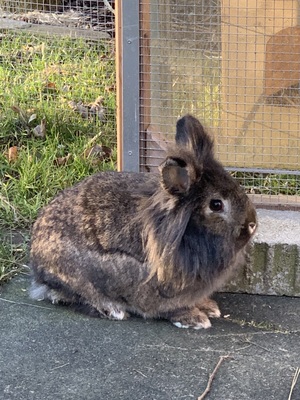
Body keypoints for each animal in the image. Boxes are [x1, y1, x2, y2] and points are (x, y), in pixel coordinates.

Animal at [29, 115, 256, 328]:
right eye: (216, 205)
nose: (252, 225)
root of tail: (37, 261)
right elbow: (169, 308)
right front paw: (195, 319)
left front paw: (209, 307)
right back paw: (113, 310)